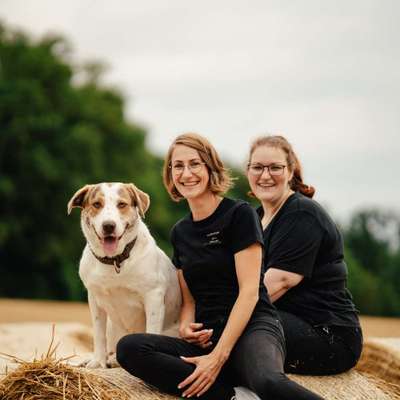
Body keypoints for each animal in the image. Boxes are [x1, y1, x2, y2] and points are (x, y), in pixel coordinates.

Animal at [68, 183, 181, 368]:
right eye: (97, 204)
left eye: (122, 204)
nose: (108, 225)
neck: (115, 260)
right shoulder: (94, 299)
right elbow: (99, 335)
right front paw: (98, 362)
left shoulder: (154, 297)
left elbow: (151, 331)